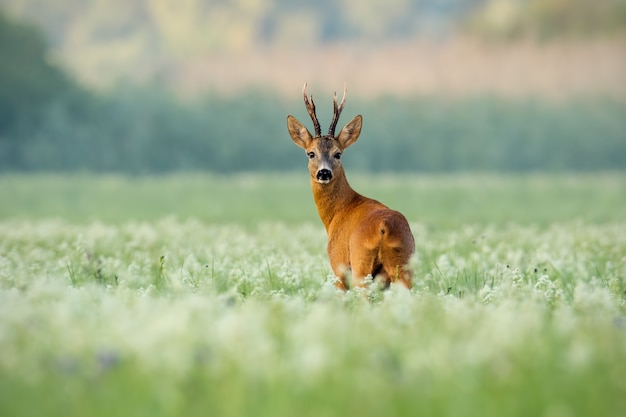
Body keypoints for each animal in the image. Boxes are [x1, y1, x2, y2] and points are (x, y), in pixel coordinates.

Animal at [288, 83, 414, 290]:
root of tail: (384, 227)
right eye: (310, 153)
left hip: (360, 264)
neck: (338, 212)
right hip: (404, 264)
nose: (324, 172)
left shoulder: (338, 264)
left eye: (338, 153)